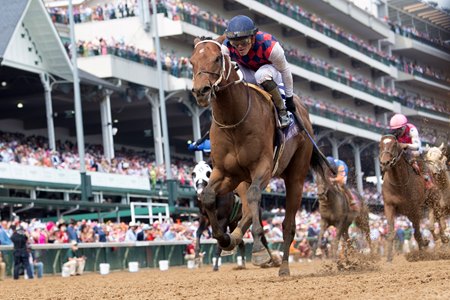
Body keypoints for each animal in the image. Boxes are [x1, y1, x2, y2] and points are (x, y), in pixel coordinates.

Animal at [190, 36, 326, 276]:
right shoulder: (227, 173)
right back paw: (235, 239)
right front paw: (224, 239)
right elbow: (209, 197)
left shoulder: (262, 167)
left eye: (217, 58)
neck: (234, 120)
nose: (201, 91)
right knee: (246, 212)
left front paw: (259, 252)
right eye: (191, 61)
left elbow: (254, 197)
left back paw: (283, 266)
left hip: (296, 176)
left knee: (288, 224)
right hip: (244, 180)